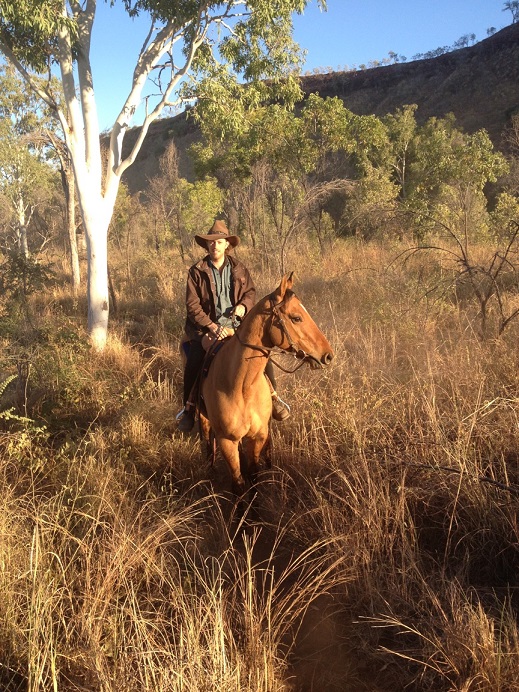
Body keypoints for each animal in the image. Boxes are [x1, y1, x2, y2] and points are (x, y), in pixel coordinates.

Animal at [199, 274, 334, 498]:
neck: (241, 386)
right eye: (296, 317)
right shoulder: (227, 442)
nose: (328, 355)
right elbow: (238, 484)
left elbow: (253, 476)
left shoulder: (258, 436)